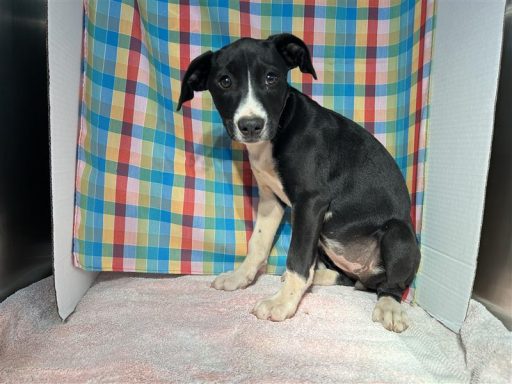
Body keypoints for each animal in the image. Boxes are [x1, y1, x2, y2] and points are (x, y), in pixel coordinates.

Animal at [178, 33, 422, 332]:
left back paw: (389, 306)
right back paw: (321, 277)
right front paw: (240, 277)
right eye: (224, 81)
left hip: (397, 233)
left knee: (390, 285)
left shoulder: (310, 202)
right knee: (348, 279)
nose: (251, 125)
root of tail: (367, 274)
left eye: (271, 77)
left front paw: (282, 303)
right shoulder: (271, 200)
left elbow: (297, 257)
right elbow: (258, 243)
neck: (281, 128)